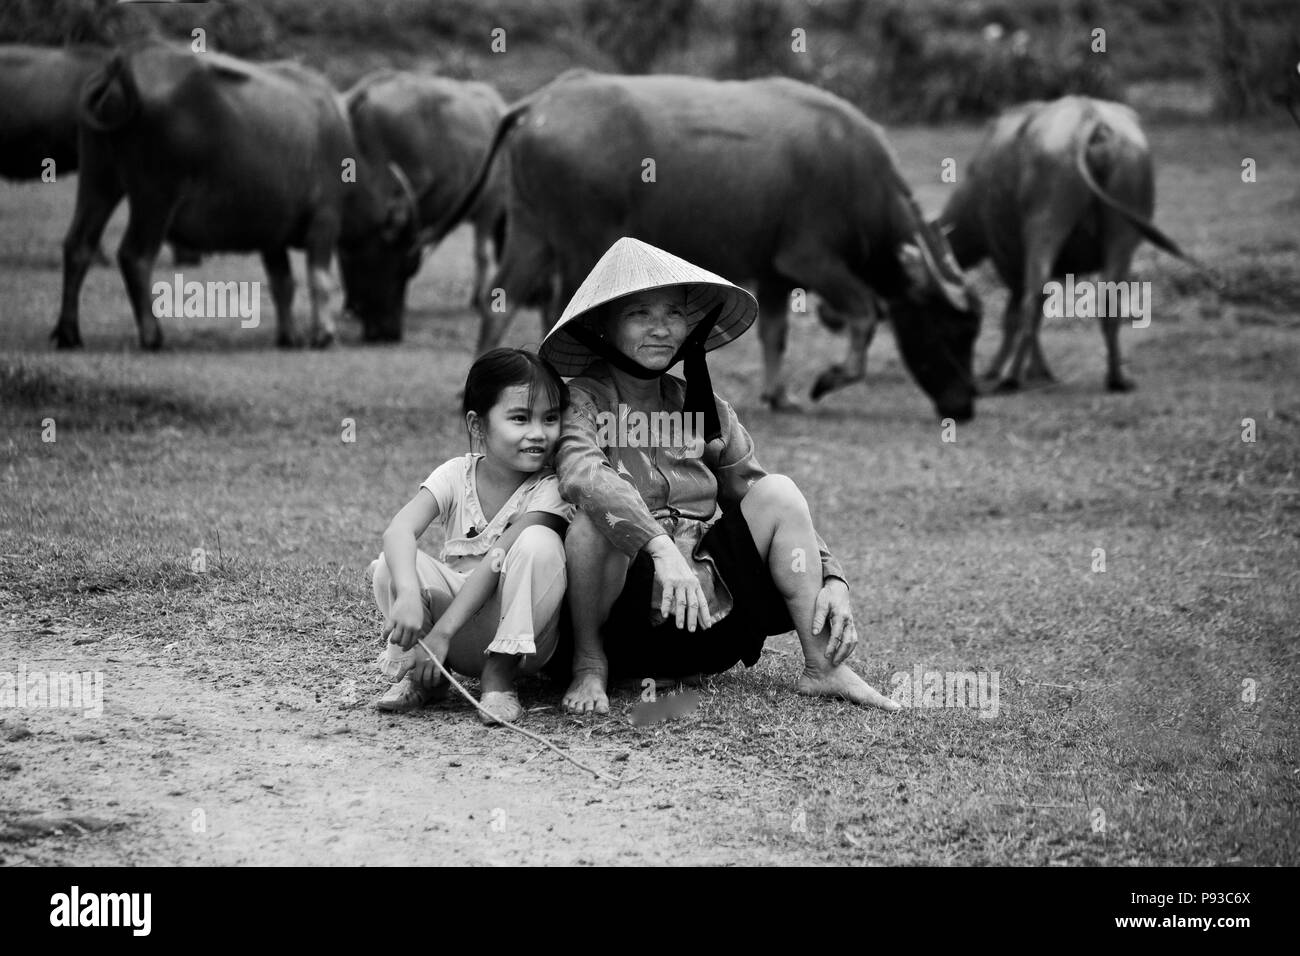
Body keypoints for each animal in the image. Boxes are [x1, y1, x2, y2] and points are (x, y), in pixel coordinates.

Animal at [52, 44, 400, 351]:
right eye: (403, 251)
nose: (390, 333)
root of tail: (122, 67)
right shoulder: (325, 219)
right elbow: (320, 279)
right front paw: (324, 335)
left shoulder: (272, 234)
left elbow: (283, 283)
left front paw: (289, 336)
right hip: (155, 195)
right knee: (135, 256)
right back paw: (152, 336)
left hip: (98, 176)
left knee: (78, 245)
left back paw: (69, 333)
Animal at [335, 70, 506, 340]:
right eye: (404, 269)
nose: (388, 331)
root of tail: (363, 95)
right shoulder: (490, 203)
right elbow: (481, 254)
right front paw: (478, 299)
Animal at [428, 70, 982, 421]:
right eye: (949, 329)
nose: (965, 405)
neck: (855, 175)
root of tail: (539, 103)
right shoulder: (812, 260)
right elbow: (866, 314)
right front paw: (826, 379)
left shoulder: (774, 272)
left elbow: (775, 334)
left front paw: (778, 394)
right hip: (582, 245)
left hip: (532, 233)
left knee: (499, 301)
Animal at [935, 96, 1196, 392]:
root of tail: (1090, 119)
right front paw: (1037, 371)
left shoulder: (1007, 259)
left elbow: (1013, 316)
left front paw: (1001, 369)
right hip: (1123, 233)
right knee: (1109, 297)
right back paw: (1117, 378)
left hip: (1046, 223)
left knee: (1033, 297)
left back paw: (1010, 377)